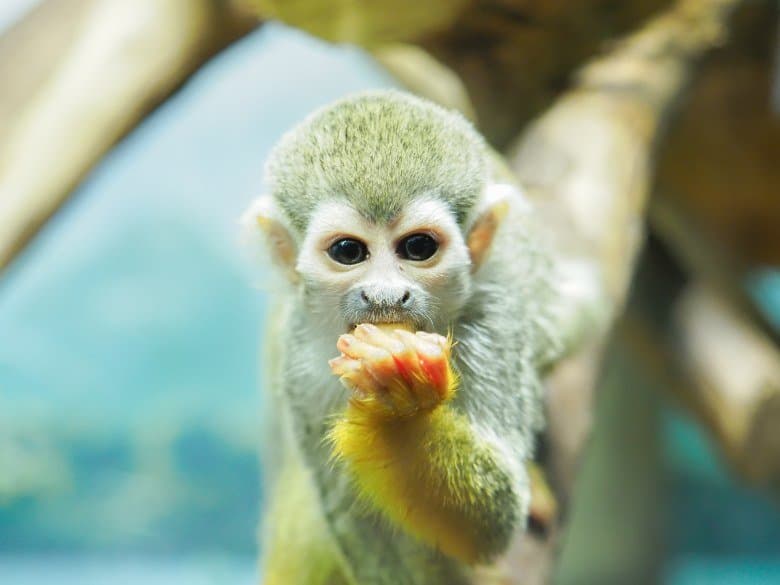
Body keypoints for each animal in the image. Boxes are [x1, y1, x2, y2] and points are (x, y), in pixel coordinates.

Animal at [242, 90, 561, 585]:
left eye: (418, 247)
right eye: (348, 251)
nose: (387, 295)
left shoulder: (494, 317)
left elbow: (495, 518)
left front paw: (401, 412)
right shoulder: (299, 359)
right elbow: (358, 522)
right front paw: (397, 404)